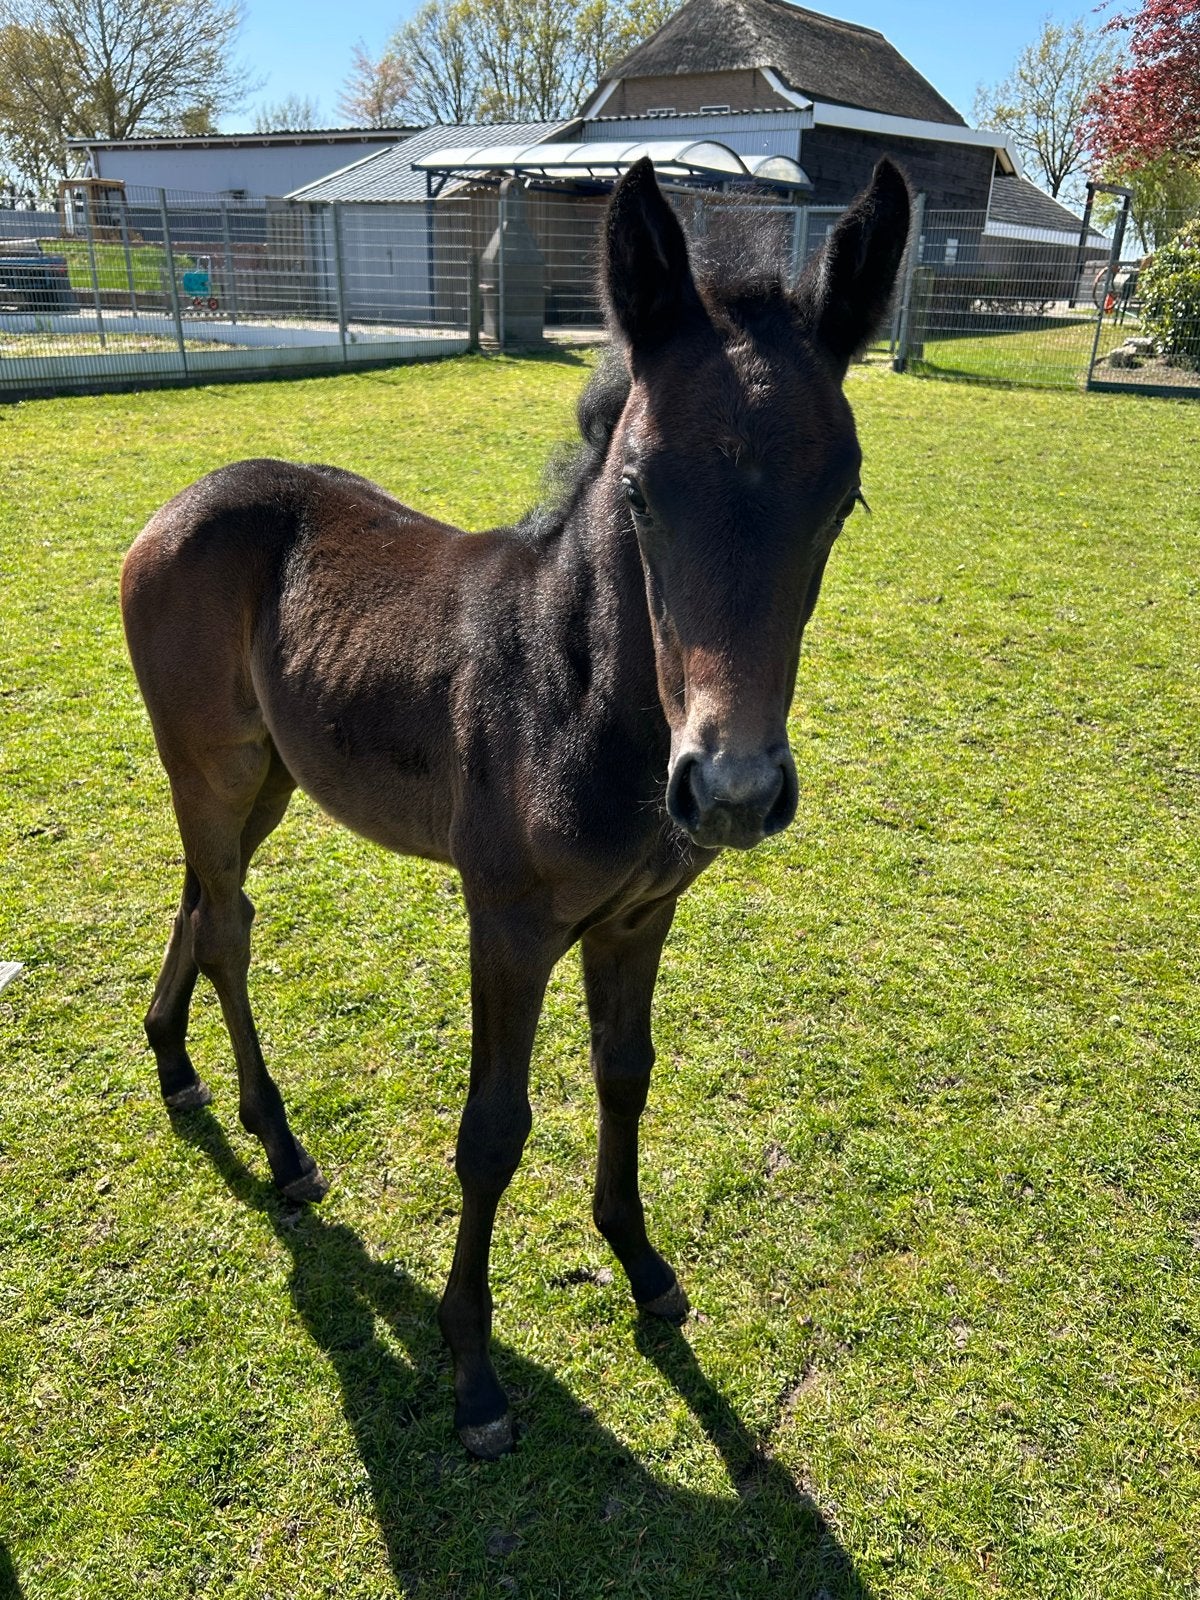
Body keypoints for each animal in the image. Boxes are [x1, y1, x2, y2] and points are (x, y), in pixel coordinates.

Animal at [121, 156, 911, 1458]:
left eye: (842, 495)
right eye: (640, 490)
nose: (731, 787)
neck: (575, 686)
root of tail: (176, 503)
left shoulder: (638, 920)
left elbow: (626, 1071)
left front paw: (642, 1264)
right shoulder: (508, 922)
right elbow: (492, 1129)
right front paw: (474, 1366)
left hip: (268, 779)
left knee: (199, 893)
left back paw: (175, 1061)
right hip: (212, 762)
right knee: (229, 922)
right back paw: (279, 1143)